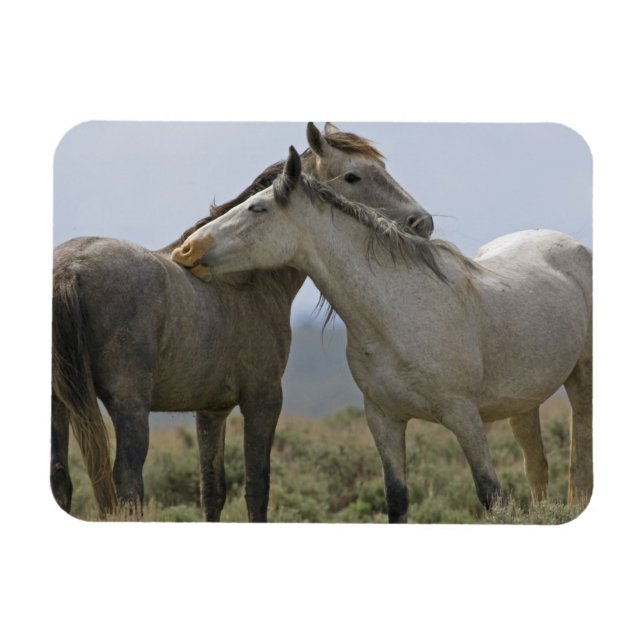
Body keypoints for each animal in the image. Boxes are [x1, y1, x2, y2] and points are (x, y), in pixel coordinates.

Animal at [52, 122, 435, 520]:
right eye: (353, 175)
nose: (422, 222)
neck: (243, 276)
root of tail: (70, 268)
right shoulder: (263, 399)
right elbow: (257, 488)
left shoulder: (210, 410)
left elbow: (212, 491)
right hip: (129, 406)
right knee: (127, 481)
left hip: (60, 404)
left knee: (61, 478)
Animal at [172, 147, 593, 523]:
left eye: (256, 209)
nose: (187, 250)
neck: (398, 313)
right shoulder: (384, 419)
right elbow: (397, 499)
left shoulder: (465, 418)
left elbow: (491, 496)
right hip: (523, 402)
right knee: (537, 467)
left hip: (580, 379)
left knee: (580, 464)